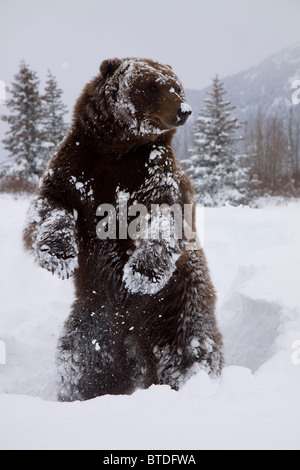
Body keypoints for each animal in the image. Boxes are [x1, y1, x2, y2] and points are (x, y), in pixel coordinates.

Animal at [23, 57, 224, 400]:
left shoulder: (154, 172)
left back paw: (194, 381)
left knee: (189, 345)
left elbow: (166, 216)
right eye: (153, 86)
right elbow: (51, 205)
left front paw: (141, 272)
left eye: (177, 86)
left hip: (177, 300)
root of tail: (133, 334)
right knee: (83, 359)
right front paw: (59, 255)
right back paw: (82, 394)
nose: (183, 109)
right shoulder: (79, 165)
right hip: (96, 315)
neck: (120, 149)